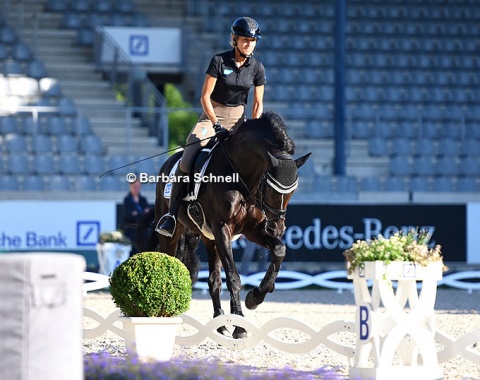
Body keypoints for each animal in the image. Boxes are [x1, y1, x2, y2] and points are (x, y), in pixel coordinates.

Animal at [139, 110, 312, 338]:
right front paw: (240, 327)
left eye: (293, 190)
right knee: (169, 260)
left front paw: (256, 297)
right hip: (172, 232)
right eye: (270, 188)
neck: (241, 174)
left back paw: (220, 324)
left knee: (213, 280)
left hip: (209, 238)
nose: (276, 228)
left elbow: (279, 250)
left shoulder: (252, 230)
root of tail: (169, 162)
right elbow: (233, 277)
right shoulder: (222, 228)